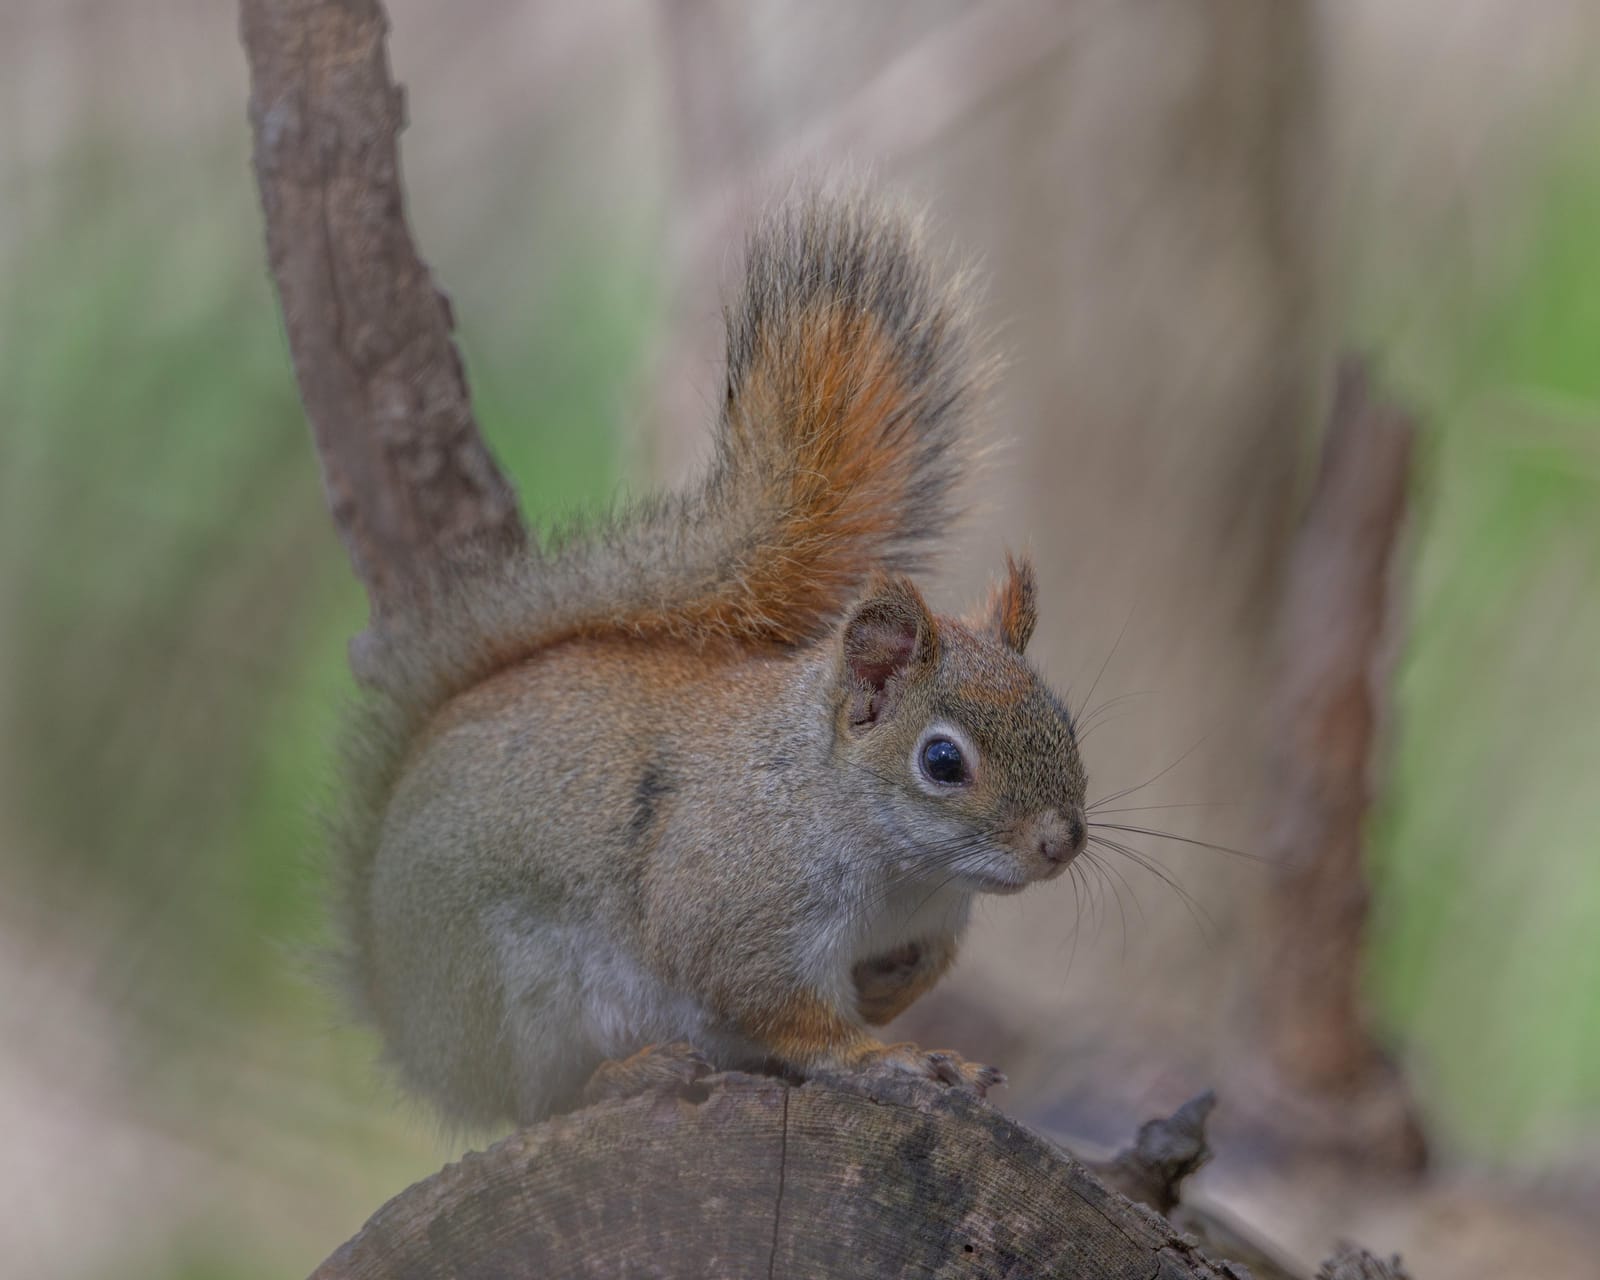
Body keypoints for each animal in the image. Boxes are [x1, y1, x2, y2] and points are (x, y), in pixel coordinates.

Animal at [334, 193, 1089, 1130]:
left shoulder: (931, 922)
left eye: (1065, 724)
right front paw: (885, 1058)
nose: (1062, 841)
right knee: (538, 1102)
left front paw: (895, 1002)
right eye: (943, 762)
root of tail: (407, 1024)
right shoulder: (733, 904)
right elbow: (775, 1004)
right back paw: (629, 1073)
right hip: (514, 998)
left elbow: (916, 971)